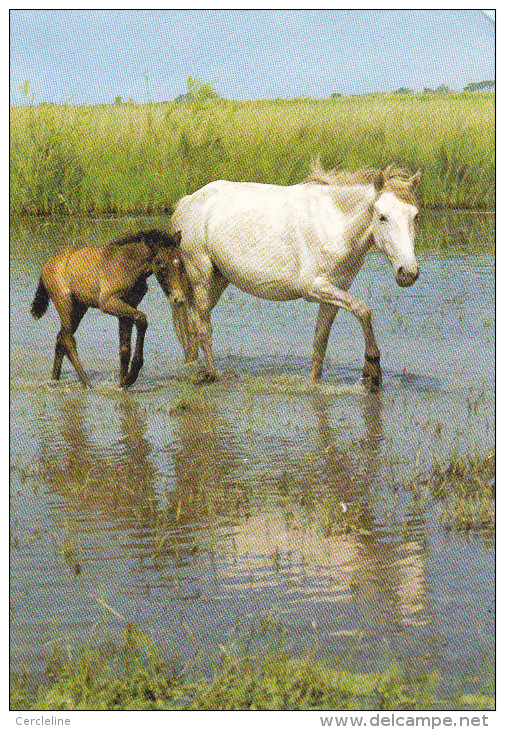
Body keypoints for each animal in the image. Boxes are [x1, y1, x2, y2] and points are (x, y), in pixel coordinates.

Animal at [171, 162, 420, 390]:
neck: (333, 224)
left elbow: (320, 343)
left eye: (415, 216)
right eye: (382, 217)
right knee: (203, 327)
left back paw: (192, 369)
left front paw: (315, 383)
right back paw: (212, 375)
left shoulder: (335, 293)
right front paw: (372, 371)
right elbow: (363, 309)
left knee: (192, 325)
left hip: (218, 280)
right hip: (201, 278)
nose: (408, 273)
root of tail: (187, 202)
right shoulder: (314, 288)